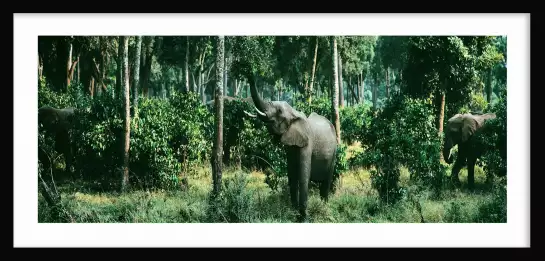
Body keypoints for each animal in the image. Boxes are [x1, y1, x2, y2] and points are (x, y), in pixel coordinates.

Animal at [241, 74, 336, 220]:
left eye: (279, 111)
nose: (250, 72)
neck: (294, 113)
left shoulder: (307, 143)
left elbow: (303, 175)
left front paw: (303, 218)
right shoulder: (290, 145)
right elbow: (291, 173)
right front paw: (294, 213)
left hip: (335, 152)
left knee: (327, 181)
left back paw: (324, 207)